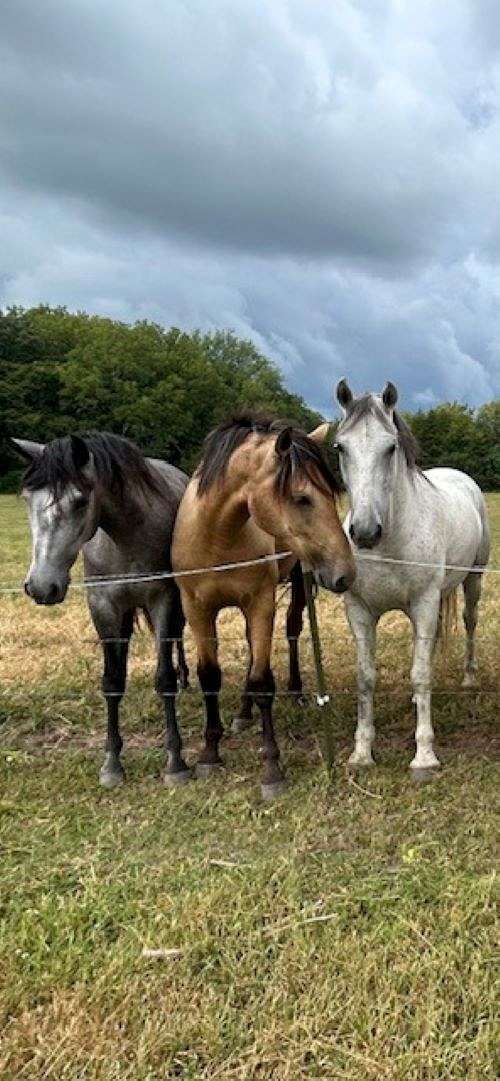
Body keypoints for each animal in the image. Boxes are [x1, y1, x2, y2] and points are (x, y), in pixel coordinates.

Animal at [13, 432, 190, 787]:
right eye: (27, 499)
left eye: (80, 501)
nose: (41, 586)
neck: (126, 536)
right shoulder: (104, 608)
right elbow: (112, 682)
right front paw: (112, 764)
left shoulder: (163, 601)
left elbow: (163, 678)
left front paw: (175, 762)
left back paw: (185, 677)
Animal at [171, 412, 356, 799]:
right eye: (302, 498)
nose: (345, 573)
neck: (217, 536)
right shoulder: (197, 609)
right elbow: (210, 676)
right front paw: (210, 753)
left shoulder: (260, 604)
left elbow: (262, 680)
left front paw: (272, 768)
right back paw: (243, 713)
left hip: (299, 581)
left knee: (293, 631)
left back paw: (297, 691)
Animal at [332, 380, 490, 780]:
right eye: (340, 447)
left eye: (390, 448)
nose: (365, 532)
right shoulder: (359, 610)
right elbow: (365, 678)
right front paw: (361, 753)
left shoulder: (424, 602)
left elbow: (420, 673)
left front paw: (424, 757)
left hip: (473, 580)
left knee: (469, 621)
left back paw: (469, 678)